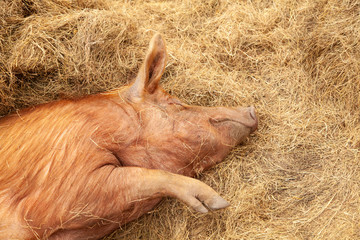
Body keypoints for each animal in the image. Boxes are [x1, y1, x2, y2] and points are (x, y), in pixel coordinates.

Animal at [0, 34, 258, 240]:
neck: (109, 126)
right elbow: (141, 176)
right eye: (176, 103)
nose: (251, 109)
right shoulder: (68, 174)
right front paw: (217, 203)